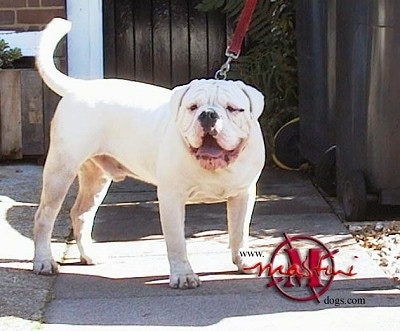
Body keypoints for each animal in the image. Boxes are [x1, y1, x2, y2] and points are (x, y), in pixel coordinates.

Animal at [33, 18, 266, 290]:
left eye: (233, 109)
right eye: (193, 107)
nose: (208, 115)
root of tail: (79, 86)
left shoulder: (243, 194)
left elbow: (240, 232)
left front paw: (244, 262)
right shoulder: (171, 197)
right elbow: (177, 241)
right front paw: (183, 275)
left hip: (96, 178)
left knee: (81, 213)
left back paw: (89, 255)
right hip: (61, 170)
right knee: (45, 216)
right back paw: (44, 262)